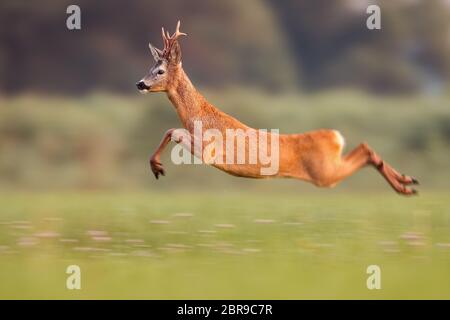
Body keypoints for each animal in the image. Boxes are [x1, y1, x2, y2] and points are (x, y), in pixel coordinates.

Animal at [136, 21, 418, 195]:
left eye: (160, 71)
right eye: (150, 67)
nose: (140, 83)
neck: (200, 116)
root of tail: (335, 137)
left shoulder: (209, 151)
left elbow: (174, 131)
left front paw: (157, 166)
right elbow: (170, 130)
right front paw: (155, 166)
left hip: (325, 173)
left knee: (365, 150)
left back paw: (405, 185)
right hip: (328, 169)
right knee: (365, 148)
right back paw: (407, 182)